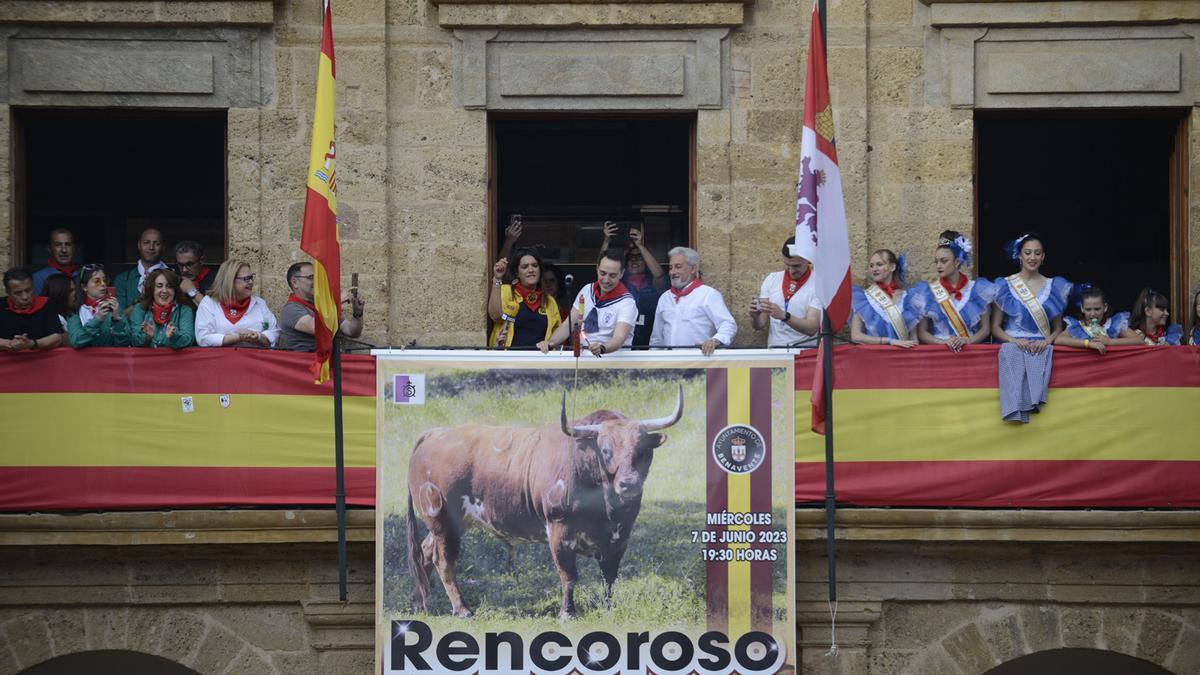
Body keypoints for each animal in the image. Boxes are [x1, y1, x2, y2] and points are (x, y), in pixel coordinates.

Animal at [408, 384, 681, 614]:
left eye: (642, 450)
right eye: (606, 450)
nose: (629, 483)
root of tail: (435, 433)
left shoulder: (620, 536)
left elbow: (609, 577)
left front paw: (608, 608)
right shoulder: (560, 531)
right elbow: (569, 576)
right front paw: (567, 612)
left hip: (452, 523)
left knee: (425, 552)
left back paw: (422, 603)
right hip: (442, 520)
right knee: (444, 561)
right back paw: (462, 609)